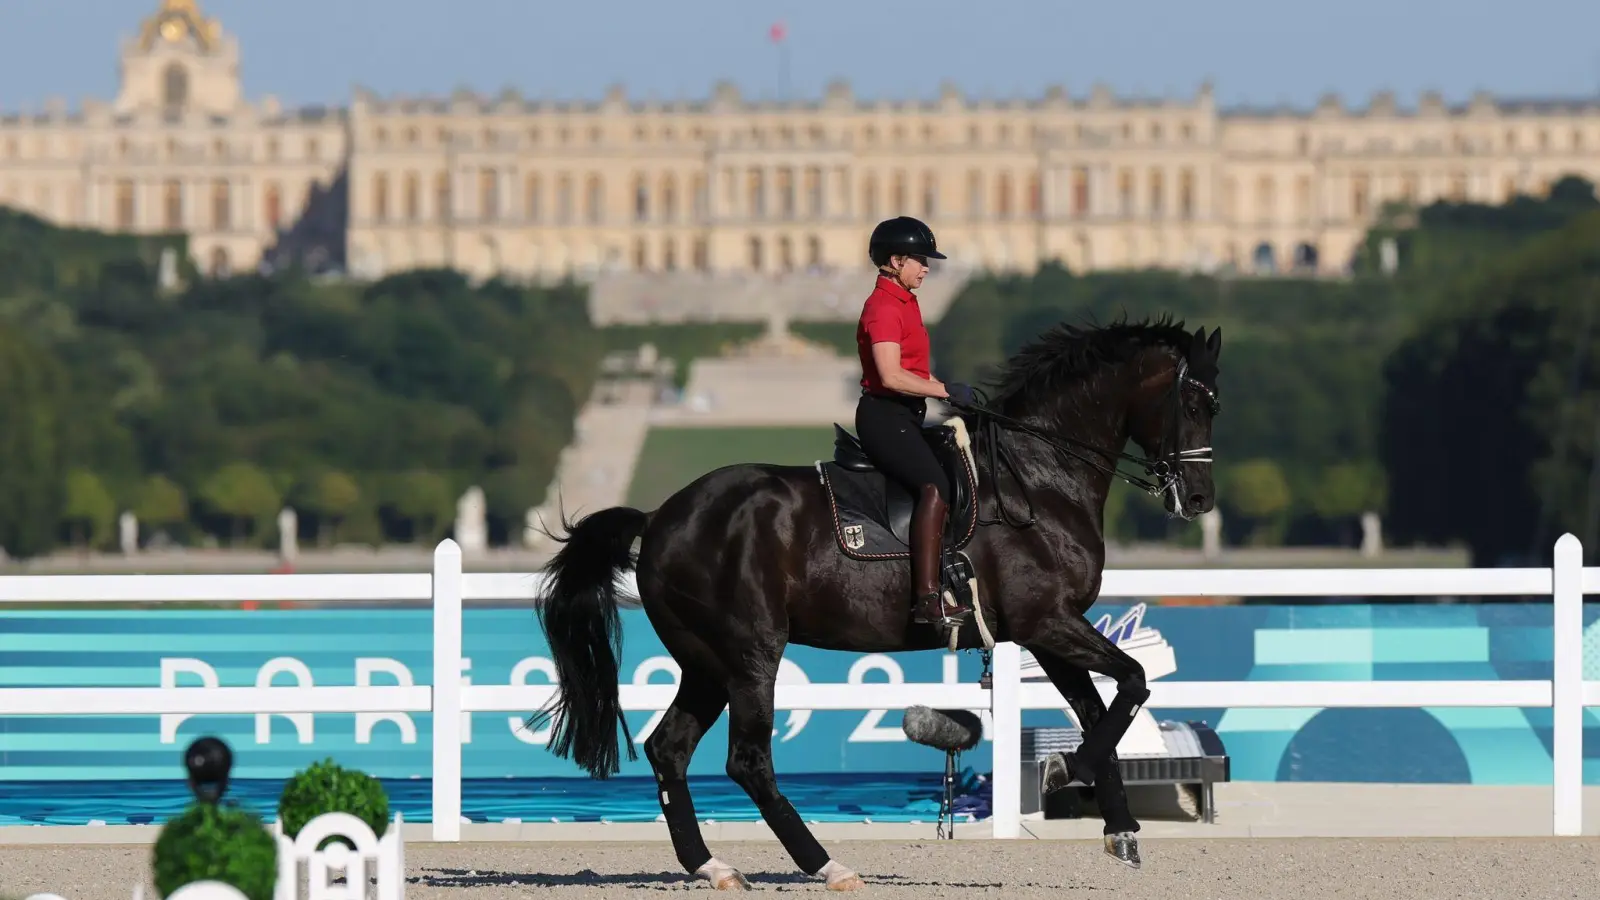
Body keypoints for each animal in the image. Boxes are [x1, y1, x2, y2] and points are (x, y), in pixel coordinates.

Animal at [531, 313, 1216, 883]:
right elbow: (1132, 683)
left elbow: (1104, 707)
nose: (1200, 499)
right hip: (750, 654)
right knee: (747, 760)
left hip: (706, 661)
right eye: (1192, 400)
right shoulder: (1047, 620)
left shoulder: (1048, 629)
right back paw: (826, 866)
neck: (1037, 478)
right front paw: (1067, 772)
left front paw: (1119, 827)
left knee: (668, 748)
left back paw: (713, 867)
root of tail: (660, 517)